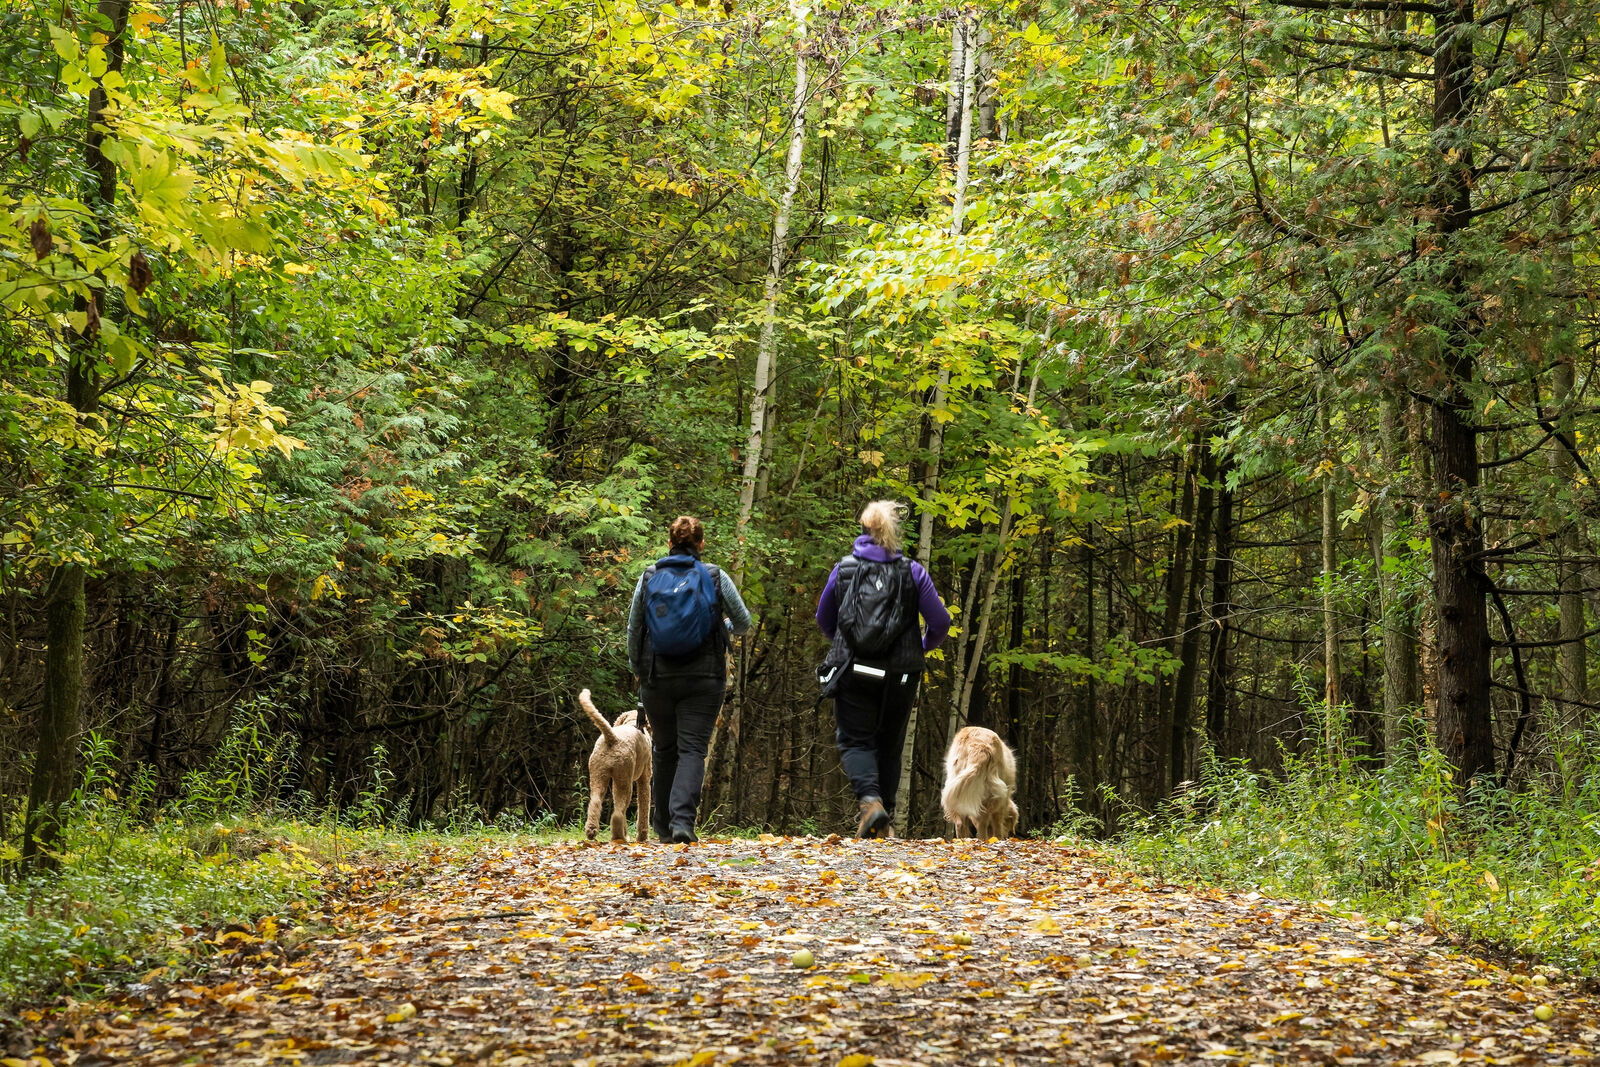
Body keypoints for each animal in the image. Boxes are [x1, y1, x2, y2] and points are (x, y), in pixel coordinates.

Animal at [579, 694, 652, 844]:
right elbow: (644, 807)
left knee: (596, 802)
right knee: (618, 812)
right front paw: (642, 837)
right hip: (624, 781)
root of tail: (612, 739)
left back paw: (591, 831)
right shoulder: (644, 779)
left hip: (599, 776)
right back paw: (619, 837)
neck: (633, 722)